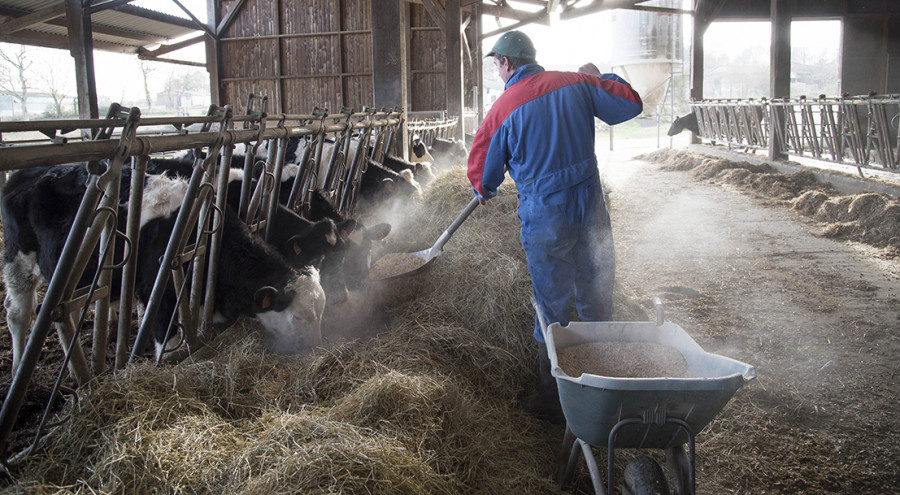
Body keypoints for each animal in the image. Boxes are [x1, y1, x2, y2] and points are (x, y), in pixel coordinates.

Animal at [2, 164, 326, 376]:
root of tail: (23, 173)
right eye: (298, 317)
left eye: (320, 311)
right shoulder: (160, 293)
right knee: (18, 311)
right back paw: (19, 365)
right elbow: (169, 345)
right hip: (17, 258)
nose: (315, 347)